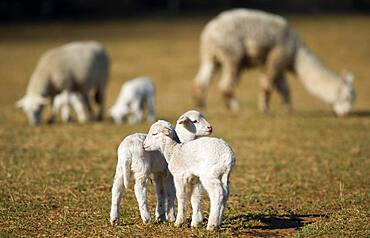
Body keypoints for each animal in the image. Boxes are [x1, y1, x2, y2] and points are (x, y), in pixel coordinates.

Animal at [192, 9, 354, 116]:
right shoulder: (277, 58)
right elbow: (267, 86)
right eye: (346, 97)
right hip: (232, 54)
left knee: (201, 81)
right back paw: (235, 108)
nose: (346, 113)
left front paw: (289, 110)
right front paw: (265, 109)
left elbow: (284, 88)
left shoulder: (277, 63)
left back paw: (201, 105)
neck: (296, 54)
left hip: (210, 56)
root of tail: (208, 32)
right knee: (225, 86)